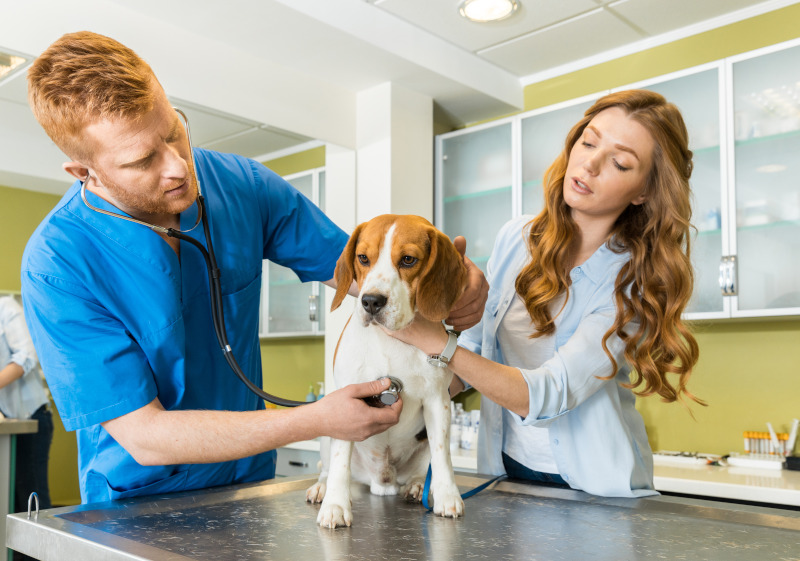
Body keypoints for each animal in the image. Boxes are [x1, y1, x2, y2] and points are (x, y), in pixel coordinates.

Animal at [306, 212, 468, 528]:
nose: (371, 301)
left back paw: (416, 486)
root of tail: (382, 481)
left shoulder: (438, 401)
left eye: (407, 259)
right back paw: (322, 487)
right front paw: (335, 505)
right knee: (329, 467)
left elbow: (442, 456)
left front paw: (447, 496)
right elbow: (340, 461)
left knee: (424, 467)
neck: (392, 339)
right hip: (325, 434)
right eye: (363, 258)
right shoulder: (346, 405)